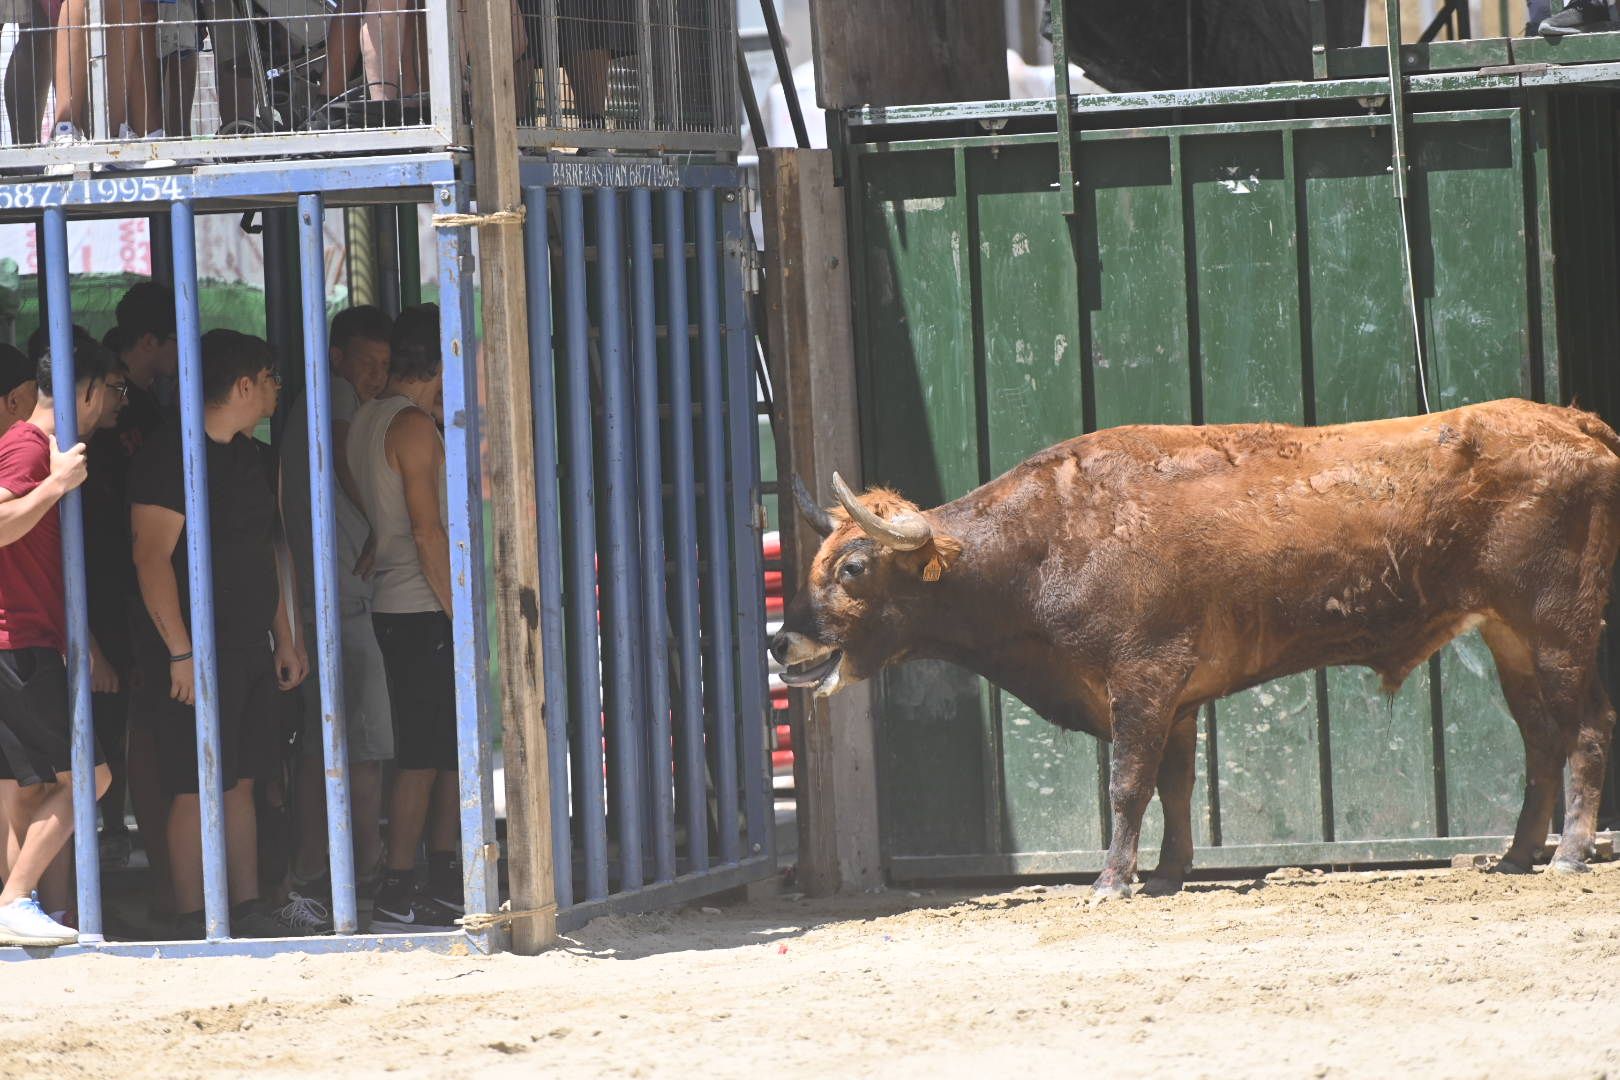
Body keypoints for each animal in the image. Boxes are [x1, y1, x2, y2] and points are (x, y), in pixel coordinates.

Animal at [767, 401, 1620, 900]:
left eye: (852, 567)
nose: (782, 639)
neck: (1049, 538)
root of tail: (1575, 425)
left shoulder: (1141, 681)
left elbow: (1127, 786)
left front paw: (1112, 881)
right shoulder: (1174, 699)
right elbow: (1174, 787)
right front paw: (1168, 873)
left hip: (1558, 634)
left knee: (1583, 733)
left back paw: (1570, 853)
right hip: (1511, 640)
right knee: (1541, 739)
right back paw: (1516, 855)